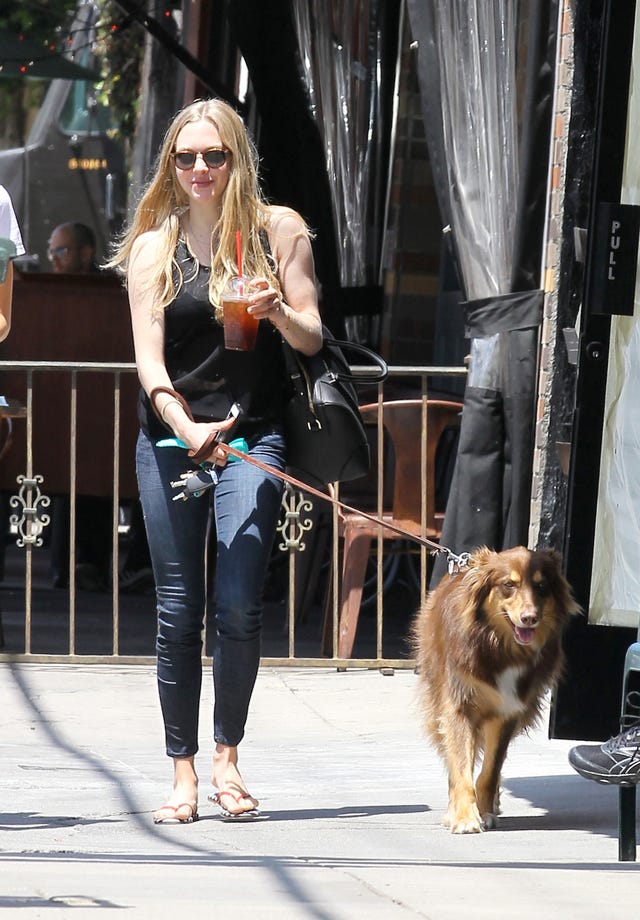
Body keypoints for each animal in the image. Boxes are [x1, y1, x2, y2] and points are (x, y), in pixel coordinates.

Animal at [412, 546, 579, 834]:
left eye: (542, 586)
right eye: (508, 585)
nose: (530, 618)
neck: (499, 646)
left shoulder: (509, 711)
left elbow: (490, 770)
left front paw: (484, 810)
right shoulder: (458, 707)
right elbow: (461, 768)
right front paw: (464, 817)